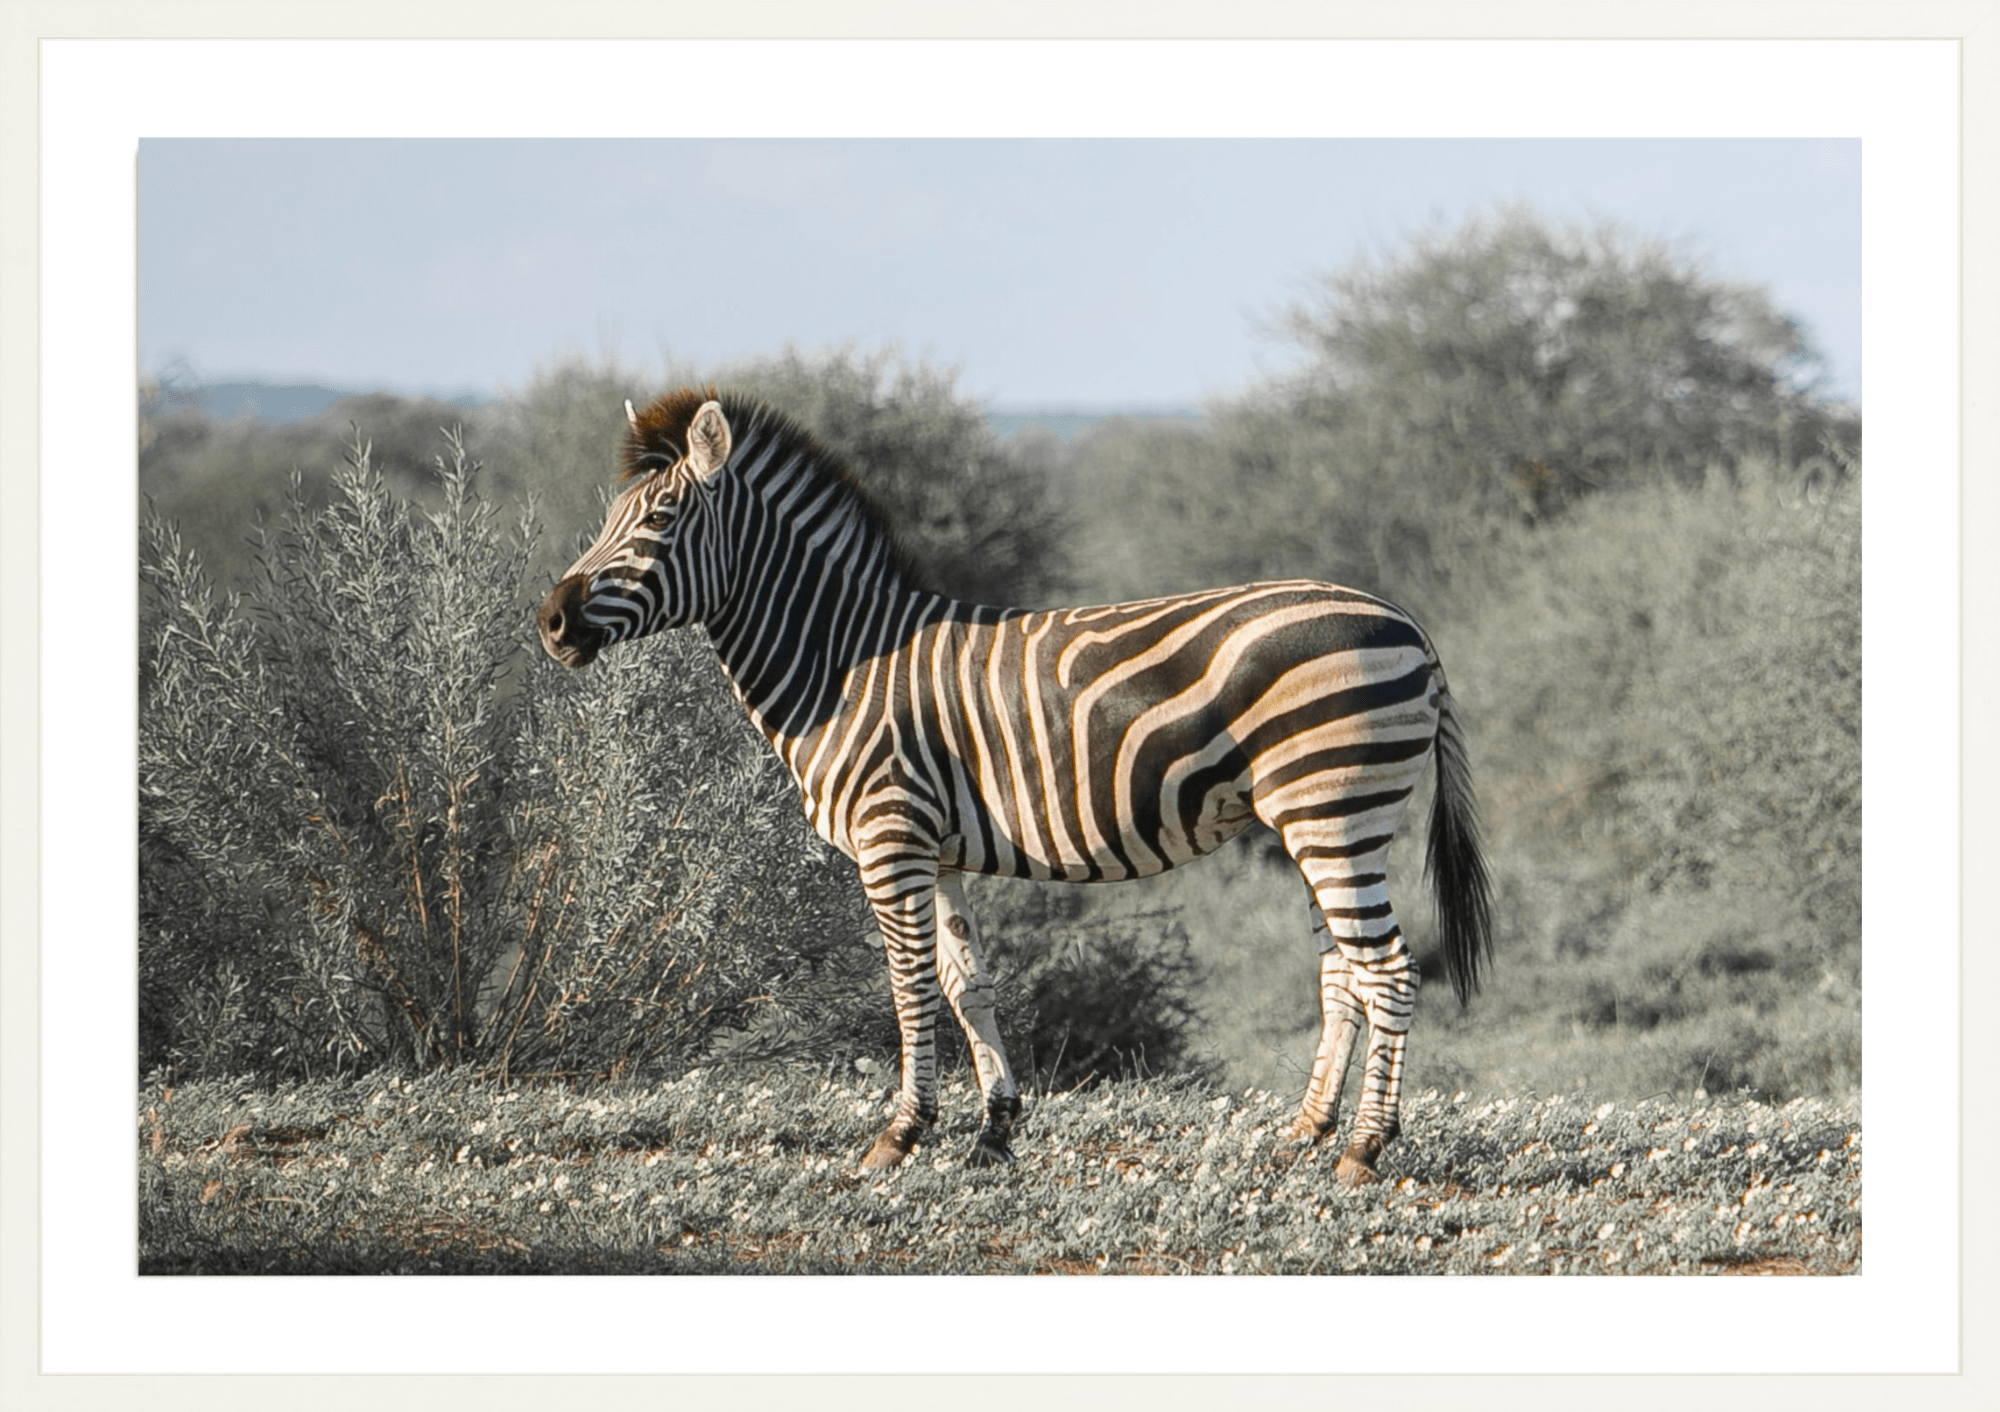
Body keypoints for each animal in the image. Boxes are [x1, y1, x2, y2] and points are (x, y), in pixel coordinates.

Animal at [537, 388, 1492, 1186]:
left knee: (1388, 970)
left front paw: (899, 1135)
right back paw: (1305, 1132)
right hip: (1312, 822)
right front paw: (994, 1131)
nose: (549, 621)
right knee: (1344, 971)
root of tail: (1411, 627)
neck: (840, 664)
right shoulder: (938, 851)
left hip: (1333, 811)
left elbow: (910, 988)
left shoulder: (890, 839)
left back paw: (1364, 1148)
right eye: (611, 517)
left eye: (660, 518)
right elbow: (969, 986)